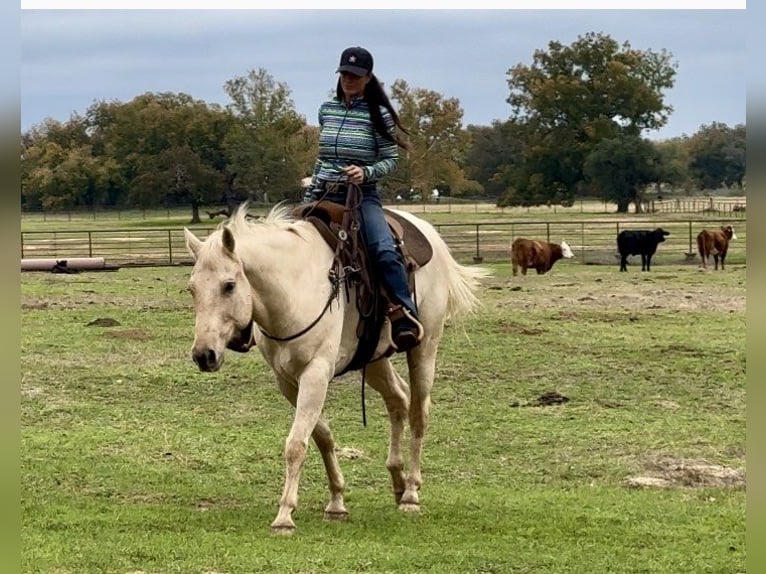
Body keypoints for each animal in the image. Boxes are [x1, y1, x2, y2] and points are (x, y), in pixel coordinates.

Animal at [183, 204, 488, 536]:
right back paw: (397, 480)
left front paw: (284, 515)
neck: (295, 288)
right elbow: (321, 437)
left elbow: (296, 444)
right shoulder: (287, 380)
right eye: (192, 289)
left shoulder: (315, 373)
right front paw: (336, 502)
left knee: (419, 413)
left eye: (229, 285)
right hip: (374, 358)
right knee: (398, 399)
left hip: (425, 347)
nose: (204, 355)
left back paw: (410, 493)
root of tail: (429, 233)